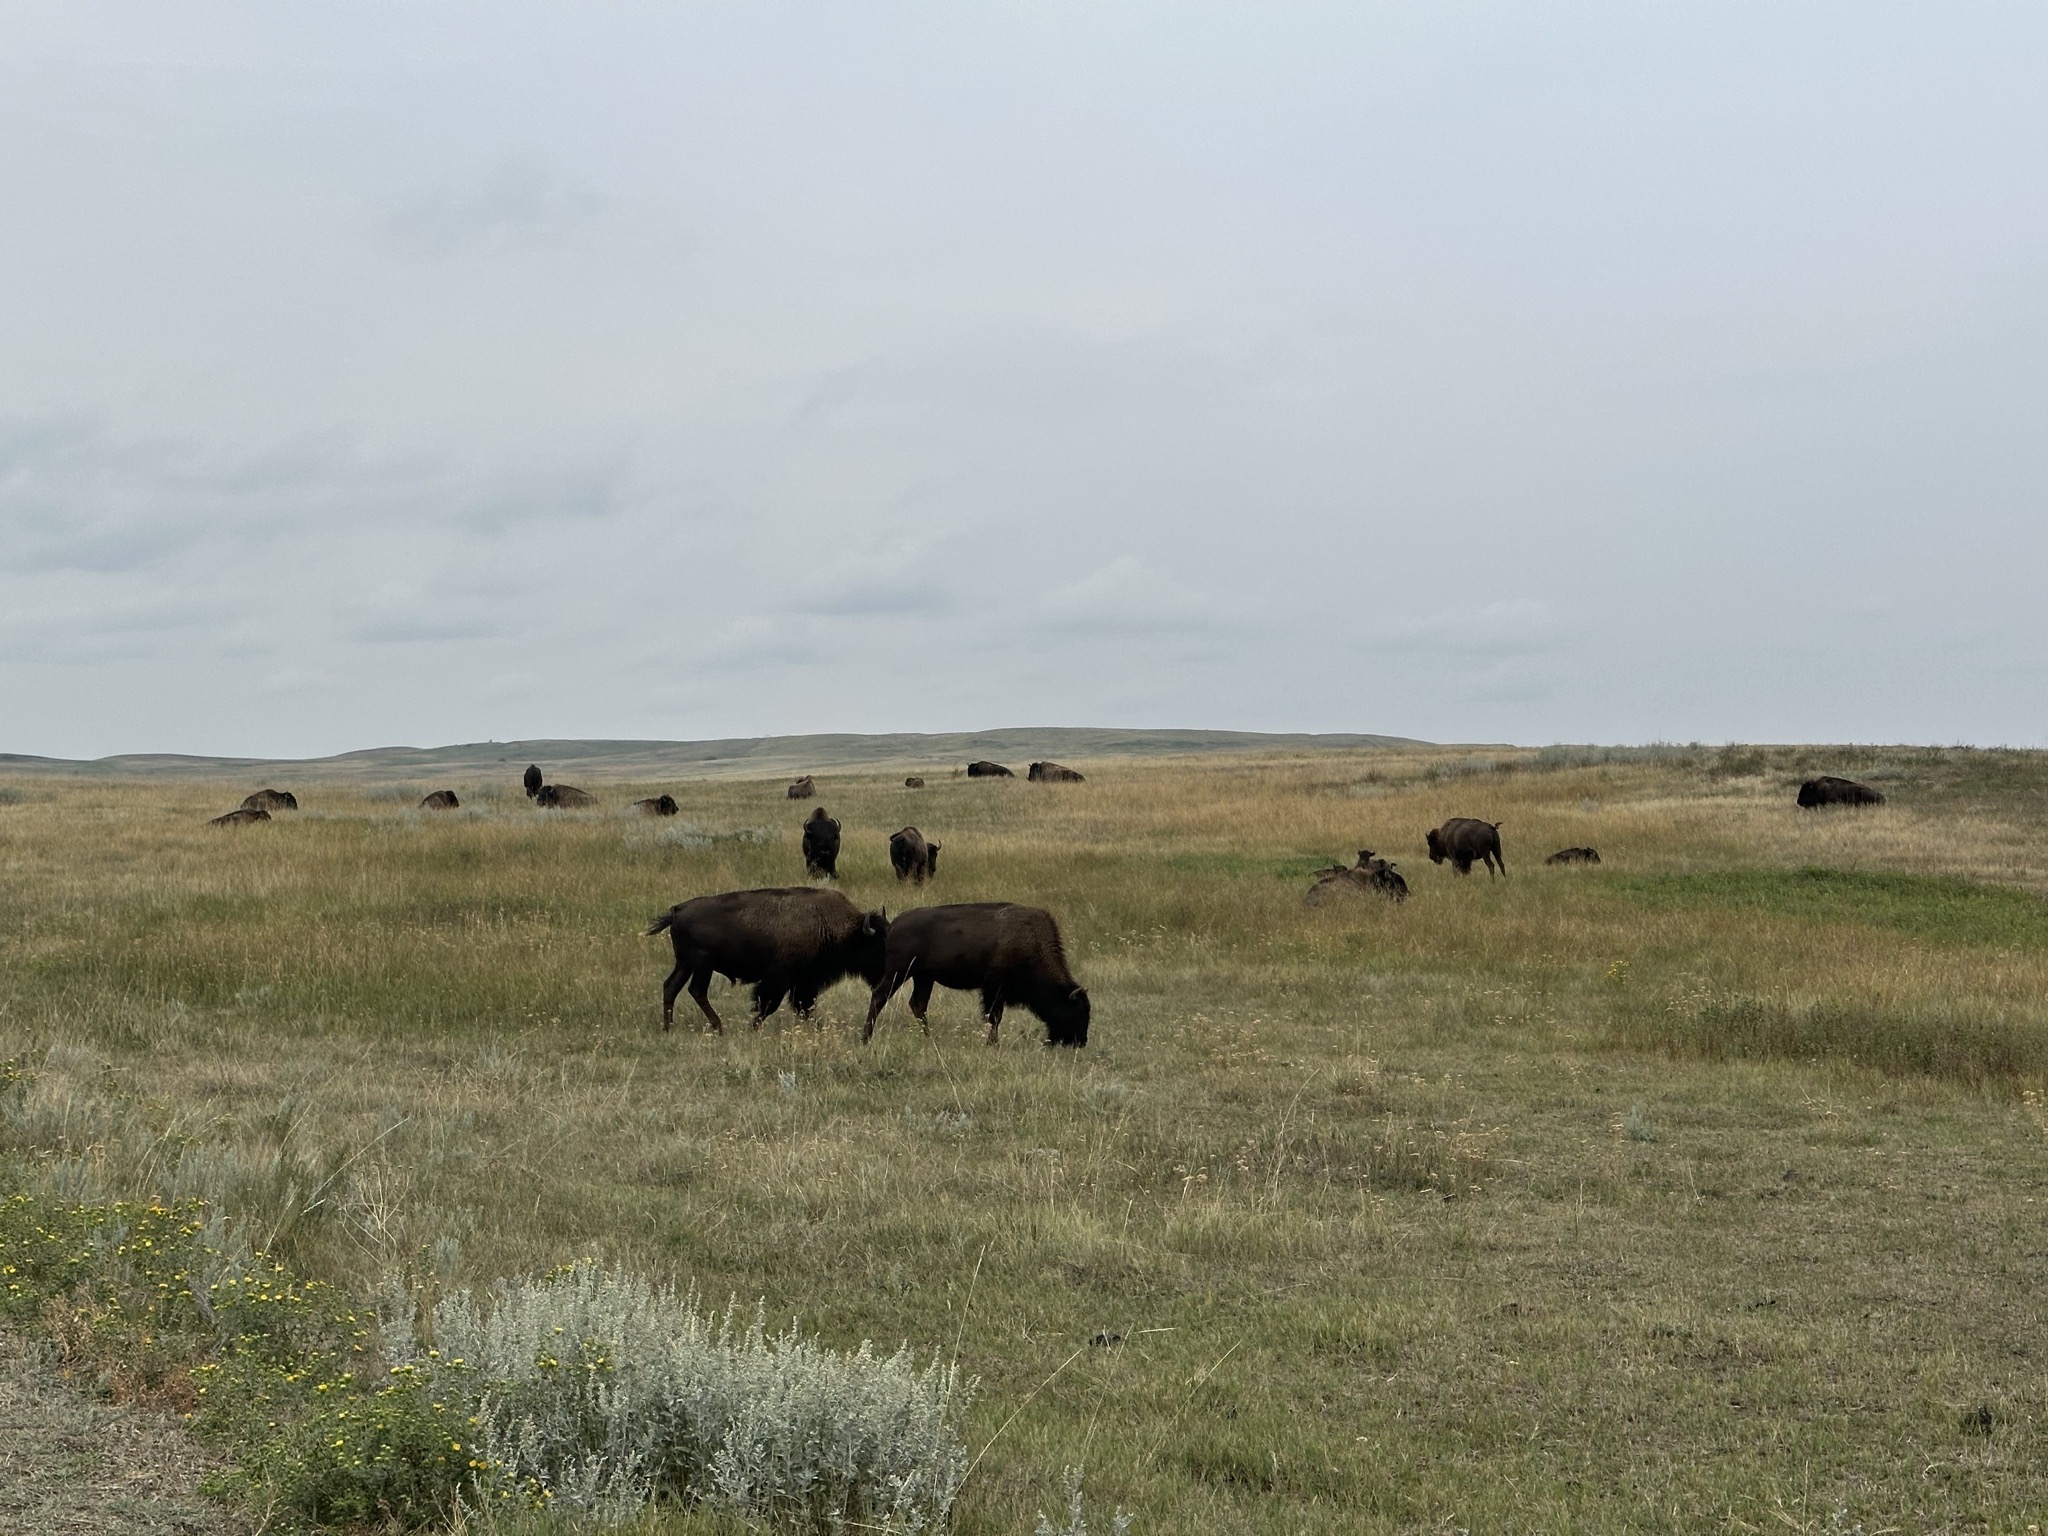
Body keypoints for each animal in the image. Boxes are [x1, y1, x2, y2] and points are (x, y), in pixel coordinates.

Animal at [645, 887, 888, 1032]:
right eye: (878, 945)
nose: (887, 975)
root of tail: (677, 910)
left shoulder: (803, 983)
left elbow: (804, 1007)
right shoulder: (780, 979)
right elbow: (770, 1004)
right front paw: (752, 1027)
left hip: (685, 964)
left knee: (671, 987)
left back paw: (669, 1027)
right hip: (702, 966)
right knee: (696, 991)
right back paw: (719, 1027)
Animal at [864, 902, 1088, 1047]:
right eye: (1076, 1011)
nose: (1080, 1042)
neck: (1029, 942)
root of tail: (892, 924)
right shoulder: (994, 989)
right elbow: (995, 1017)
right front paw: (992, 1044)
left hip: (924, 977)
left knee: (918, 1004)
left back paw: (929, 1038)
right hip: (899, 972)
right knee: (879, 997)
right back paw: (866, 1038)